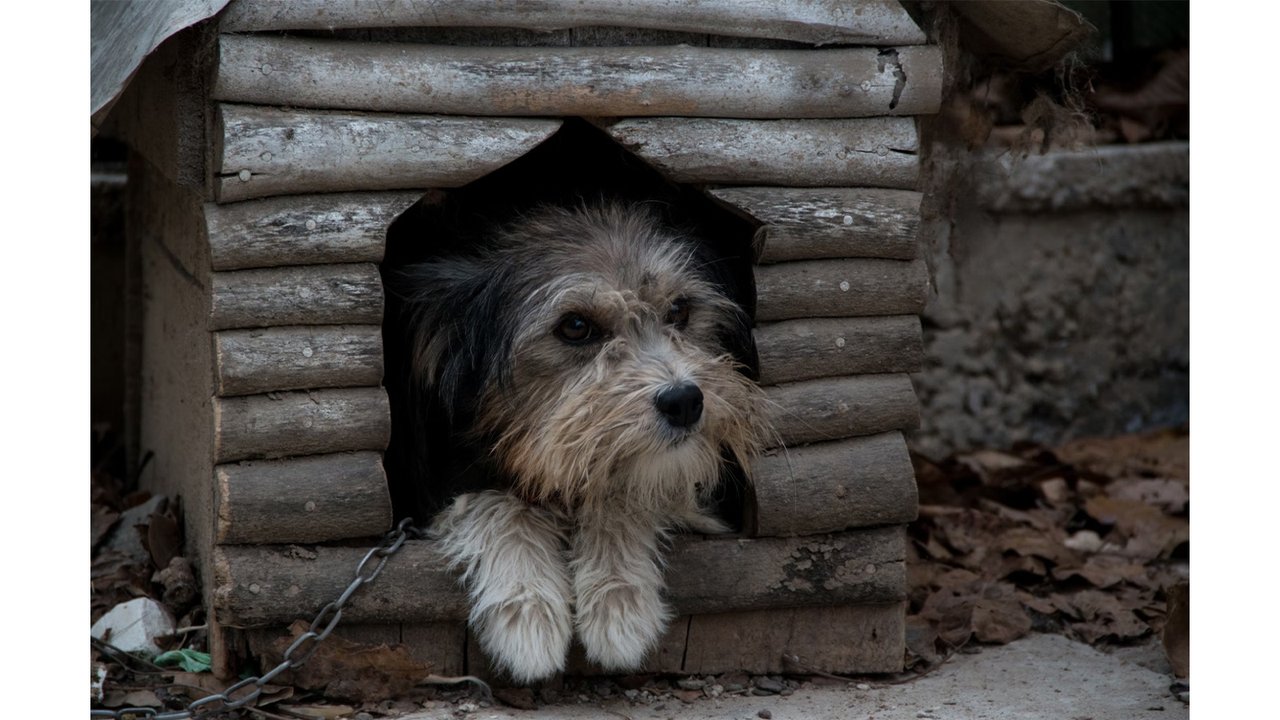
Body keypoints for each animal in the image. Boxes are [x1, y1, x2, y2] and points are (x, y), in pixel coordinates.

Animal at [394, 202, 762, 676]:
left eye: (679, 309)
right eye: (574, 326)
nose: (684, 401)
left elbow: (618, 496)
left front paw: (619, 600)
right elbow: (498, 504)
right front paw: (526, 605)